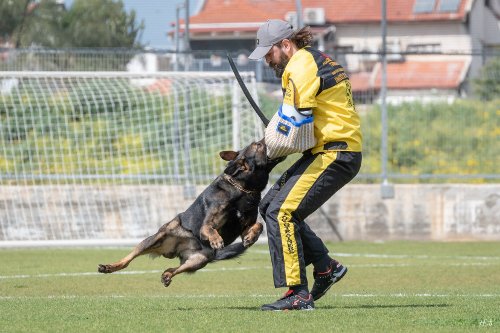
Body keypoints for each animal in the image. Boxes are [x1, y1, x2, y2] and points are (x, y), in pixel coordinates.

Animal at [97, 139, 278, 286]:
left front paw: (251, 237)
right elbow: (210, 228)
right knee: (128, 260)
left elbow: (259, 225)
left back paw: (166, 276)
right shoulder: (206, 225)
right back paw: (109, 267)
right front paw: (216, 240)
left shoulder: (245, 225)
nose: (266, 136)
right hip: (155, 238)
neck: (242, 189)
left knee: (172, 268)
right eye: (258, 145)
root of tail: (176, 250)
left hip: (198, 260)